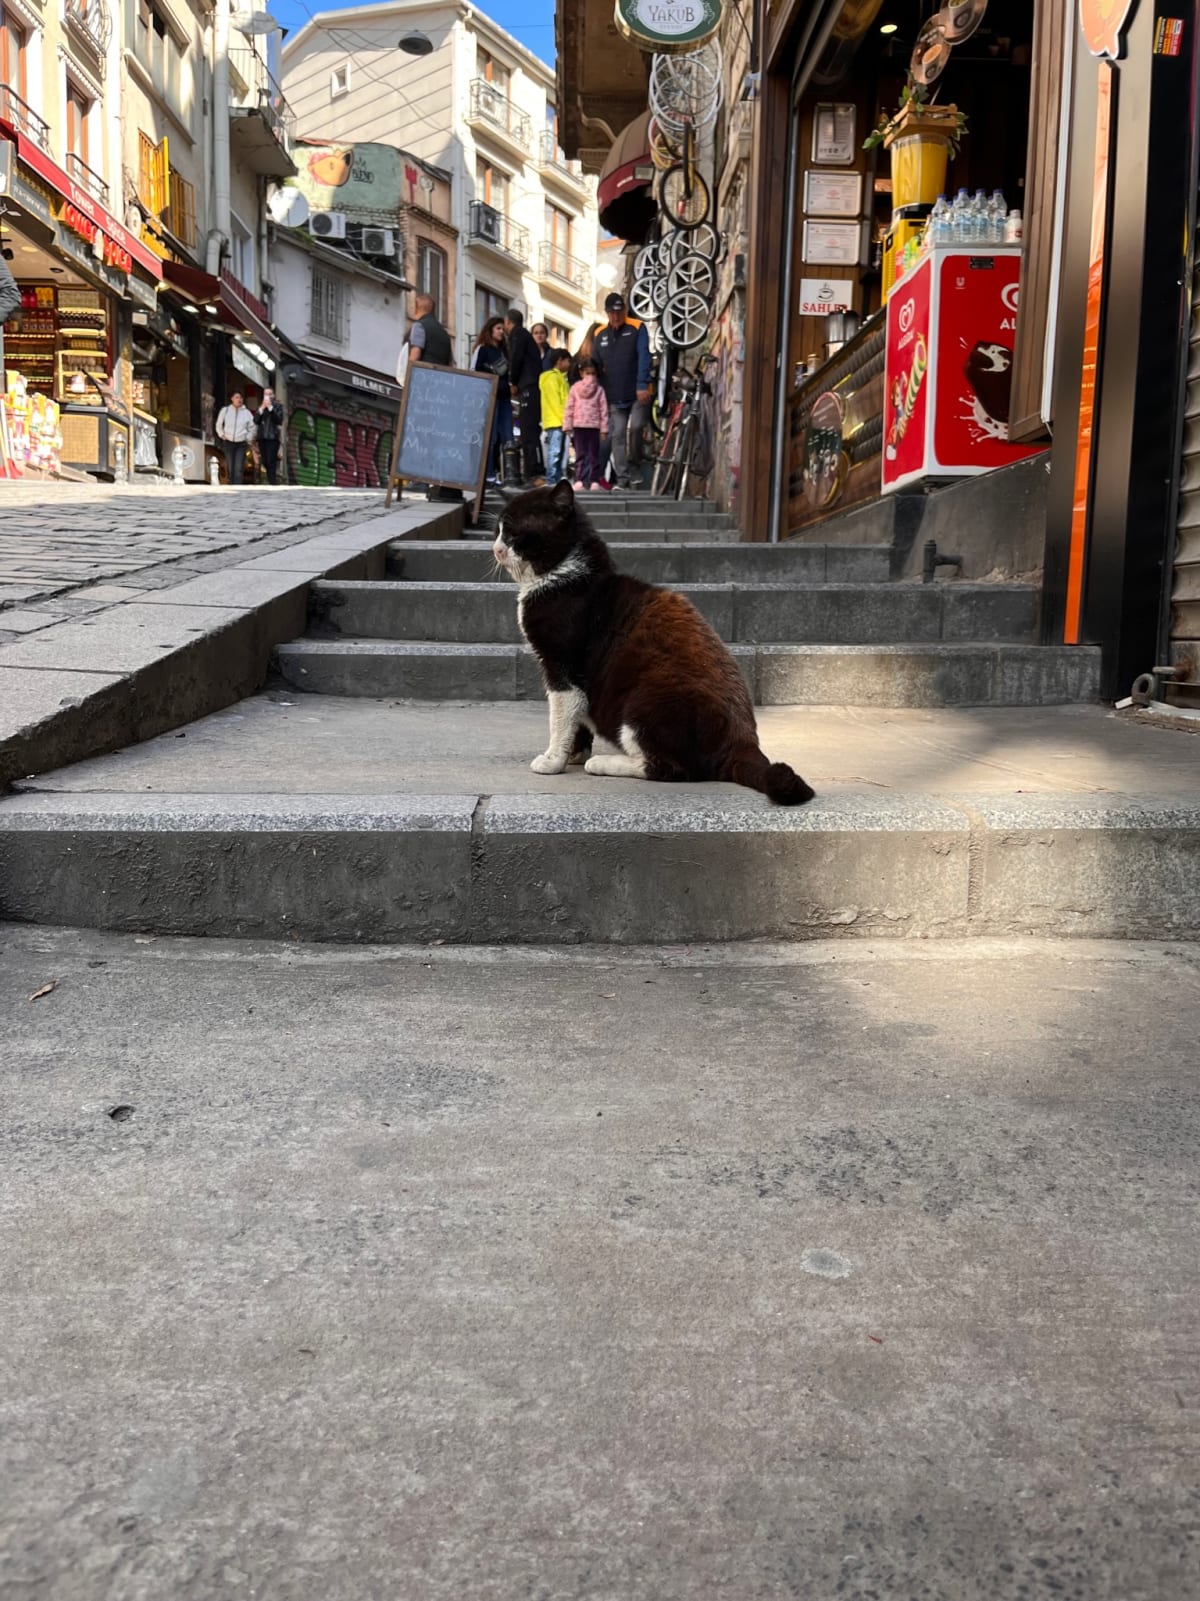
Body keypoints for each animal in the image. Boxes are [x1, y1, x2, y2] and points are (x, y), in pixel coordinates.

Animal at [489, 473, 819, 800]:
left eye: (514, 533)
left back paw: (604, 763)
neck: (564, 576)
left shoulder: (562, 665)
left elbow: (560, 716)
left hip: (643, 702)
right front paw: (573, 754)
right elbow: (577, 719)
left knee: (672, 769)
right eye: (498, 531)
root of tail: (744, 742)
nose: (496, 549)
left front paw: (553, 760)